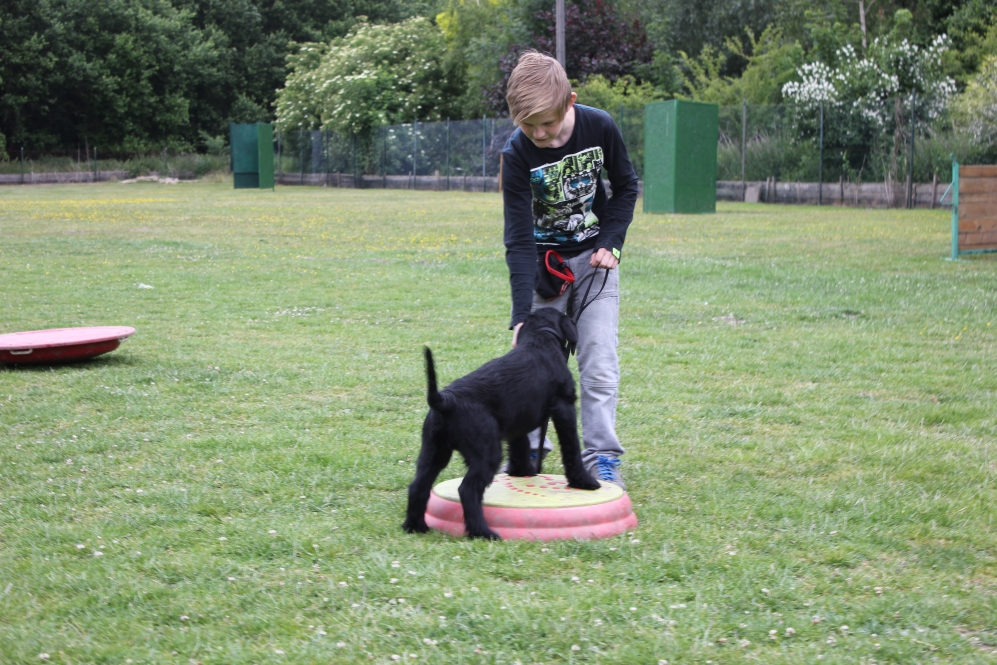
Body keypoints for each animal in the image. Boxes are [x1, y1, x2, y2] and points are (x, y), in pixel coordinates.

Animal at [398, 308, 600, 540]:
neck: (539, 338)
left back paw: (416, 526)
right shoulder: (564, 407)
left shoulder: (517, 423)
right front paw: (583, 481)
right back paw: (482, 532)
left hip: (434, 450)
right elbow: (571, 447)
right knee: (467, 490)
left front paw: (522, 471)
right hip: (486, 453)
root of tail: (444, 400)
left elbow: (520, 447)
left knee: (418, 486)